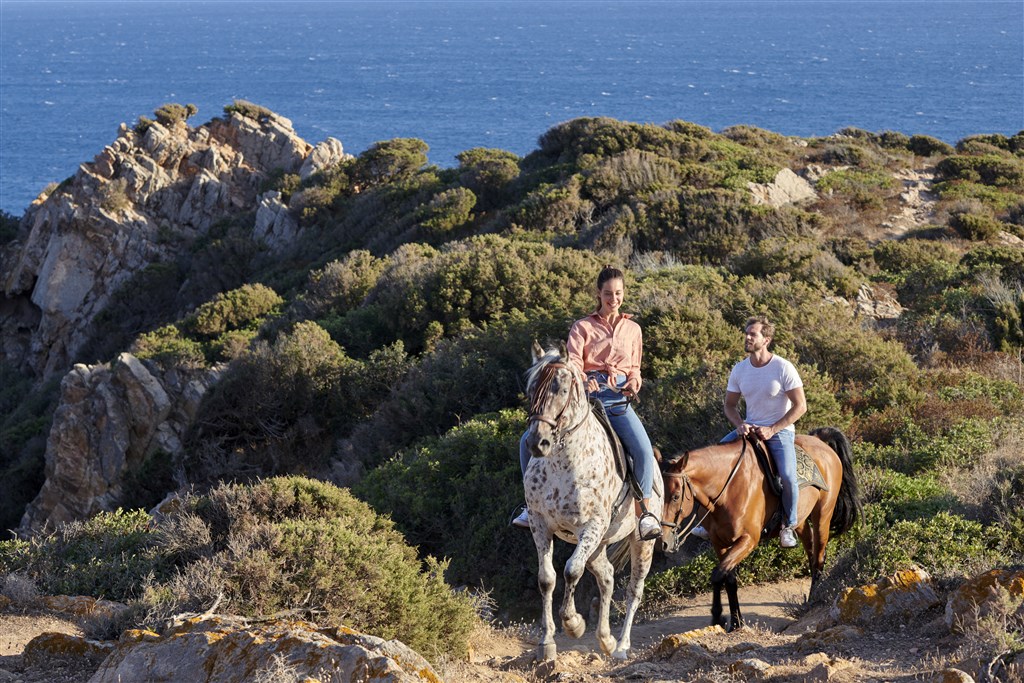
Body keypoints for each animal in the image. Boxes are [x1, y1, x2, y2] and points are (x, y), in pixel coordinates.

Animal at [659, 430, 860, 634]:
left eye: (676, 496)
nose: (664, 541)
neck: (729, 490)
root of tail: (820, 442)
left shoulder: (748, 540)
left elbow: (717, 574)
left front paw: (718, 617)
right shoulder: (719, 541)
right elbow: (728, 579)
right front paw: (736, 622)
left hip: (823, 515)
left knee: (819, 557)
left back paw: (813, 600)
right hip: (801, 520)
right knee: (811, 553)